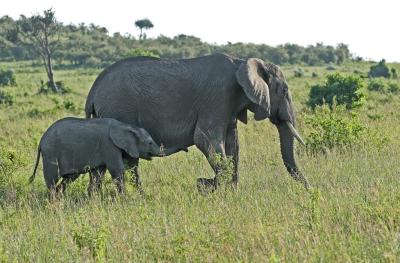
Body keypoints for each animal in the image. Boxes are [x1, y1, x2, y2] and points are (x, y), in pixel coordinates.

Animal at [30, 117, 180, 196]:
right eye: (149, 143)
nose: (183, 147)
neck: (125, 126)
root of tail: (41, 141)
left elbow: (98, 173)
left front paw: (92, 197)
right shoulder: (109, 146)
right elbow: (117, 170)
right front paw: (124, 198)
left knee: (69, 177)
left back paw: (59, 196)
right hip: (50, 153)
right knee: (52, 178)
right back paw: (53, 200)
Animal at [83, 54, 310, 193]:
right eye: (284, 91)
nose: (310, 189)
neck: (241, 63)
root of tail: (93, 90)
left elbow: (233, 145)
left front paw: (229, 191)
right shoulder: (218, 97)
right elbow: (205, 139)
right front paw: (206, 186)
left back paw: (97, 198)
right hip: (119, 109)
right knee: (127, 159)